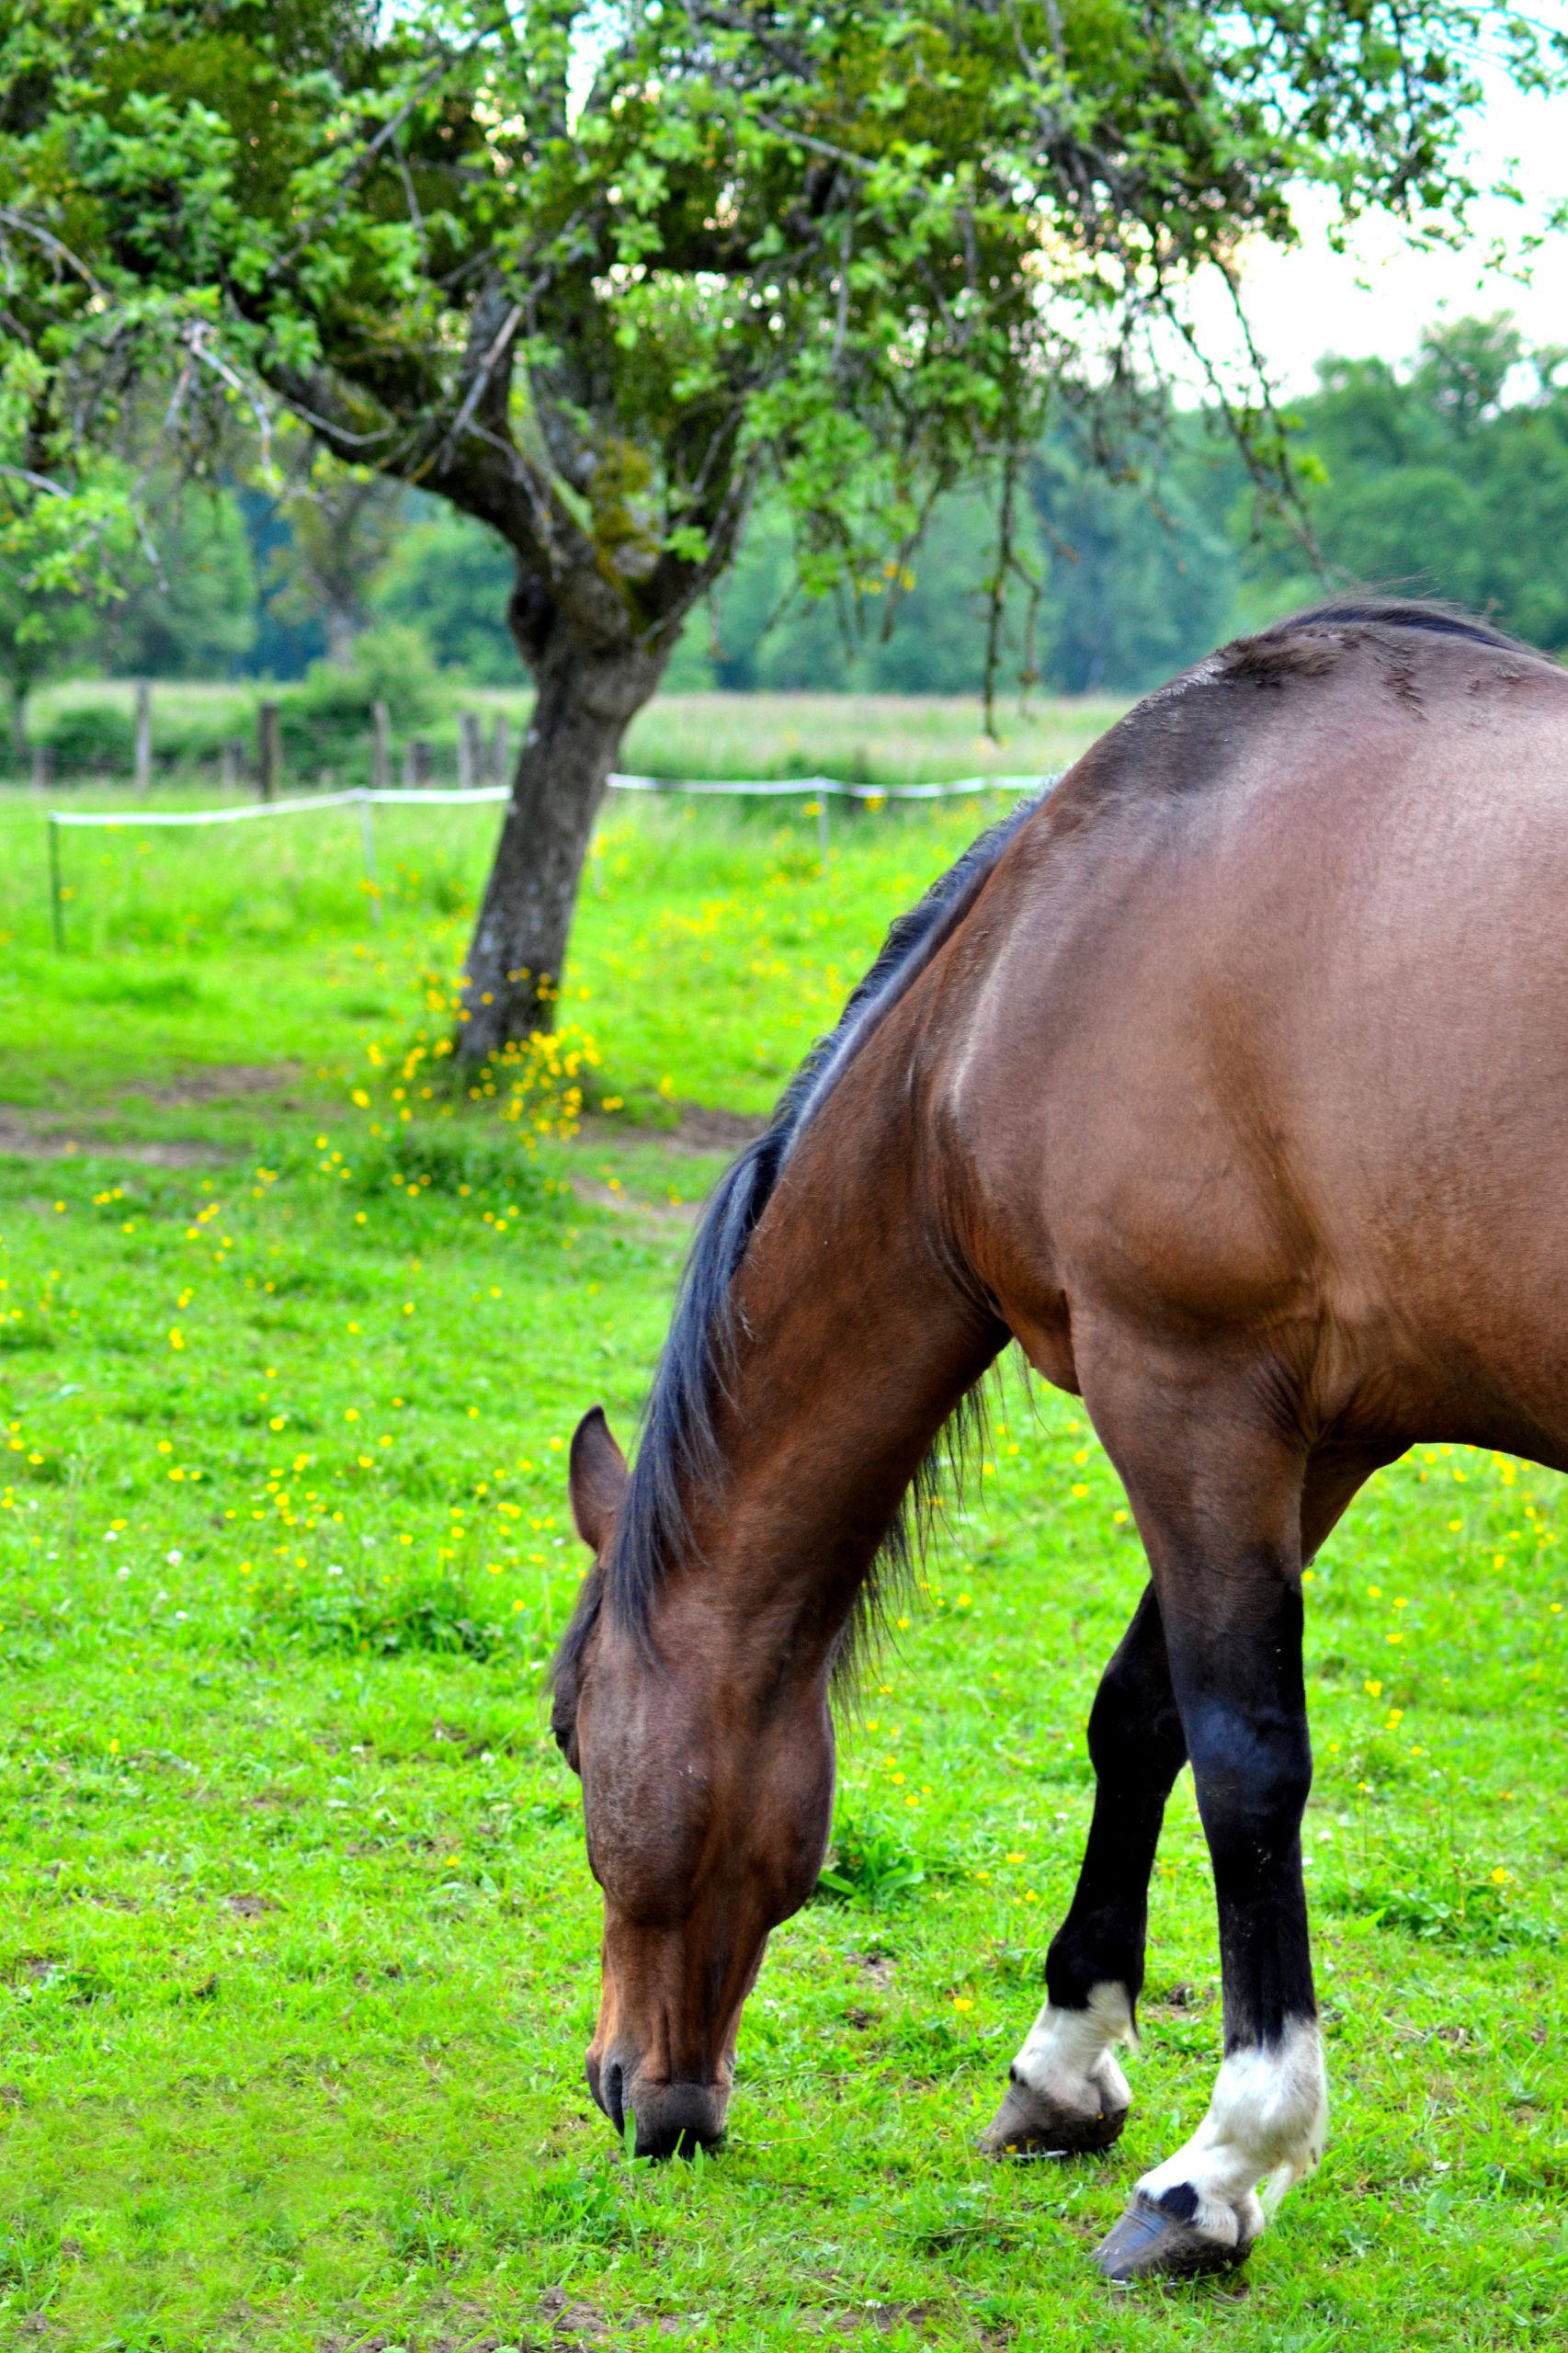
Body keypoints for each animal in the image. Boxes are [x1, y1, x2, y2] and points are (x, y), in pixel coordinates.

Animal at [548, 602, 1562, 2278]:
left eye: (569, 1732)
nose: (630, 2091)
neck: (1063, 939)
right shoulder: (1318, 1433)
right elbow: (1137, 1715)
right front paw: (1064, 2064)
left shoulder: (1184, 1387)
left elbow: (1243, 1756)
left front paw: (1221, 2166)